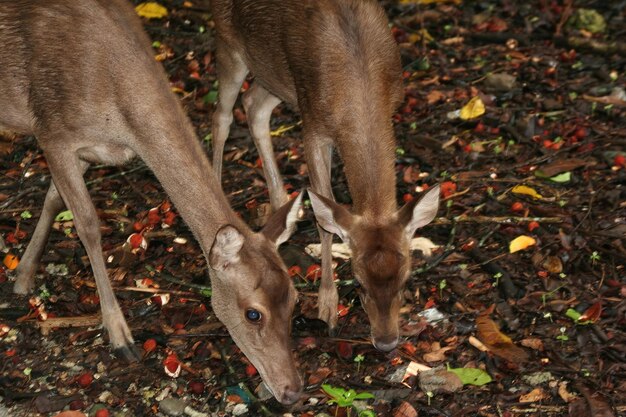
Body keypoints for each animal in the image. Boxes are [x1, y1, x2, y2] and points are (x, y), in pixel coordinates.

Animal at [0, 0, 302, 404]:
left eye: (296, 299)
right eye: (253, 313)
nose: (294, 390)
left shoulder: (84, 150)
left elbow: (52, 199)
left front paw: (23, 275)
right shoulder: (52, 129)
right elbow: (88, 224)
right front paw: (119, 335)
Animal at [210, 0, 438, 352]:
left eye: (405, 280)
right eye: (358, 282)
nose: (386, 342)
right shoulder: (313, 124)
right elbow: (325, 214)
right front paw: (327, 306)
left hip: (274, 72)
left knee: (254, 105)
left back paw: (282, 208)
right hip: (228, 43)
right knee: (221, 116)